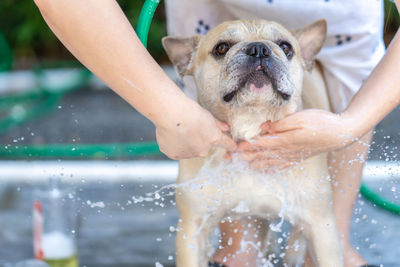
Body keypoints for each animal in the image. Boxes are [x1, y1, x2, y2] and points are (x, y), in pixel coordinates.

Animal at [162, 19, 344, 266]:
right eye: (221, 48)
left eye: (285, 47)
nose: (259, 49)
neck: (250, 124)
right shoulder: (192, 230)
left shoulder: (322, 228)